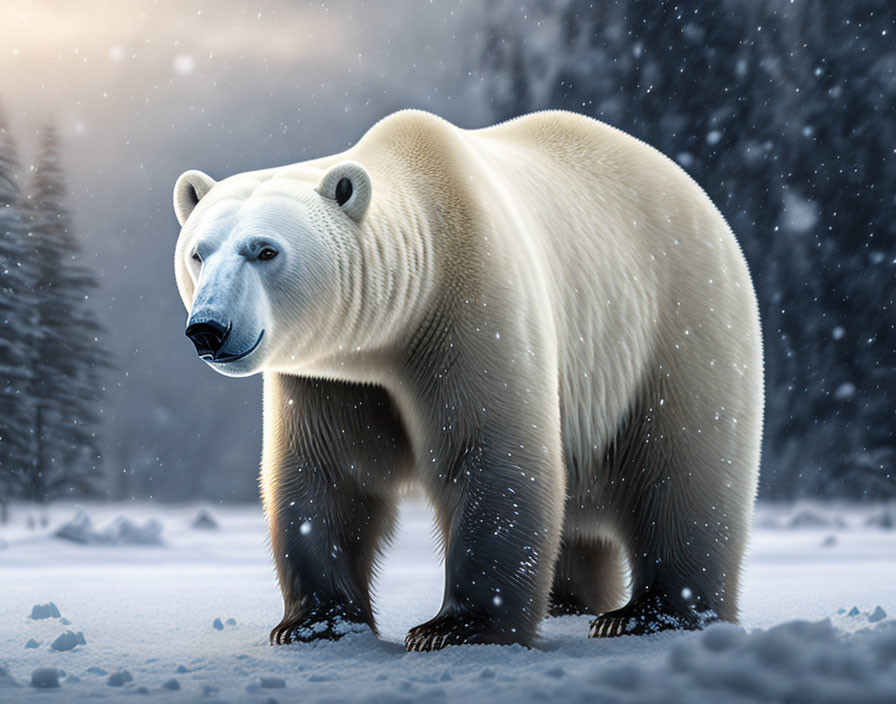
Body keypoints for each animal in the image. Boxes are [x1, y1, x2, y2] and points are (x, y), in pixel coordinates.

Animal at [172, 108, 760, 648]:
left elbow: (490, 457)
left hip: (675, 322)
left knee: (683, 469)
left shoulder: (472, 307)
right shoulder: (330, 376)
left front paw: (456, 628)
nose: (208, 329)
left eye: (265, 250)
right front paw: (316, 623)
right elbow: (325, 475)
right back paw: (570, 601)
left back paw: (650, 613)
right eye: (198, 253)